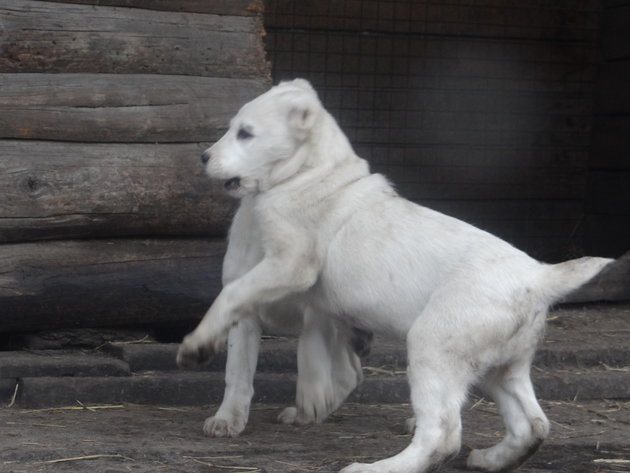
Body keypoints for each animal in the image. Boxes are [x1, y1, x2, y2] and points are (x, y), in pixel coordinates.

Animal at [179, 80, 616, 472]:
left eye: (245, 133)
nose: (202, 157)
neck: (305, 173)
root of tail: (541, 278)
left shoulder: (293, 265)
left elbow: (243, 303)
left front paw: (197, 345)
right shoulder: (304, 308)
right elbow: (242, 364)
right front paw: (234, 412)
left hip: (433, 345)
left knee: (442, 434)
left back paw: (375, 468)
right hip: (501, 365)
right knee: (533, 424)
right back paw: (491, 459)